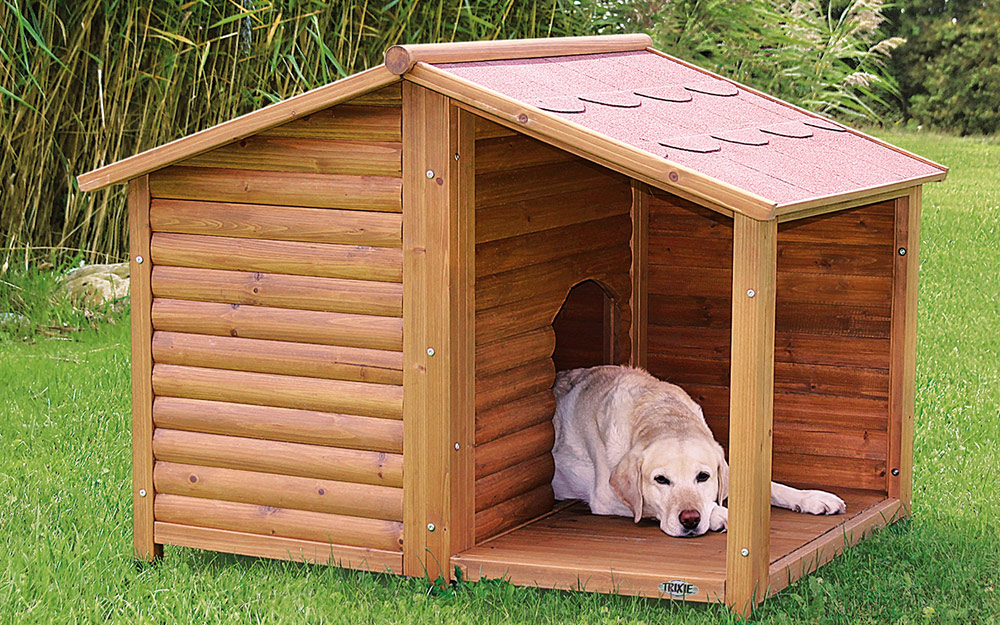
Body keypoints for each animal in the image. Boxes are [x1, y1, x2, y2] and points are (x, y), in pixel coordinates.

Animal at [552, 366, 848, 536]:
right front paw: (721, 515)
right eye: (661, 480)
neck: (663, 414)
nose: (690, 520)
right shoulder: (604, 497)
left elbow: (769, 486)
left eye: (703, 477)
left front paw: (810, 497)